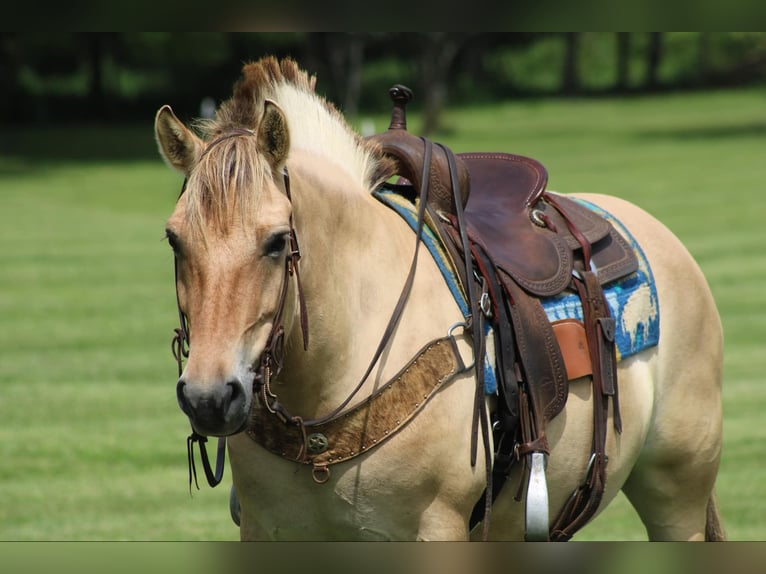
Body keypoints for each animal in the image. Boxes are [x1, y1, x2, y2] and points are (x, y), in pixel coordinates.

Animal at [156, 56, 728, 544]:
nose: (209, 397)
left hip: (678, 489)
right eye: (174, 239)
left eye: (277, 241)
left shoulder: (436, 528)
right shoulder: (268, 530)